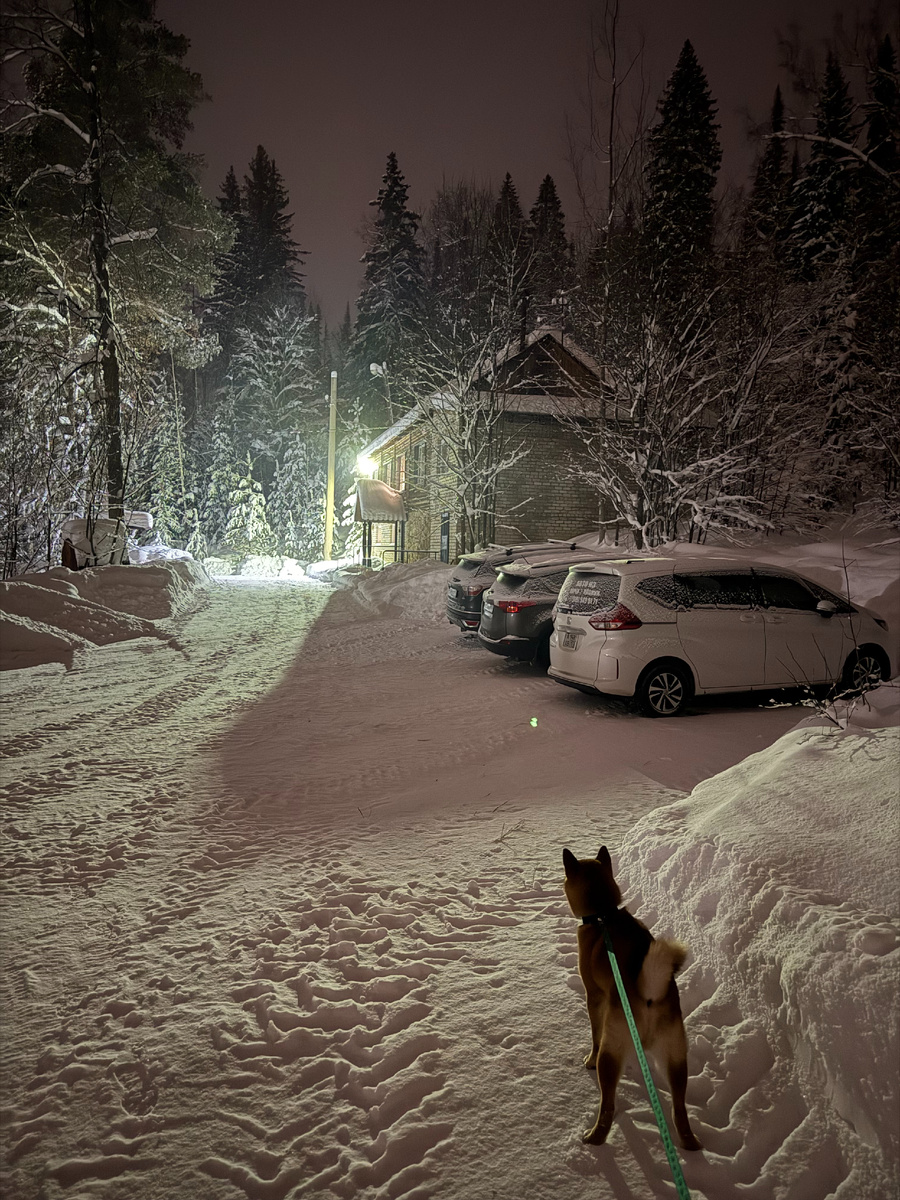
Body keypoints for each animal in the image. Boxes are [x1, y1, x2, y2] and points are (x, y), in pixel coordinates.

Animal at [563, 846, 701, 1150]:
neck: (602, 915)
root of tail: (650, 995)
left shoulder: (594, 997)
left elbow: (594, 1034)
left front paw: (588, 1058)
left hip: (611, 1053)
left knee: (608, 1107)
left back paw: (594, 1137)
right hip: (676, 1058)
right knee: (680, 1109)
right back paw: (689, 1143)